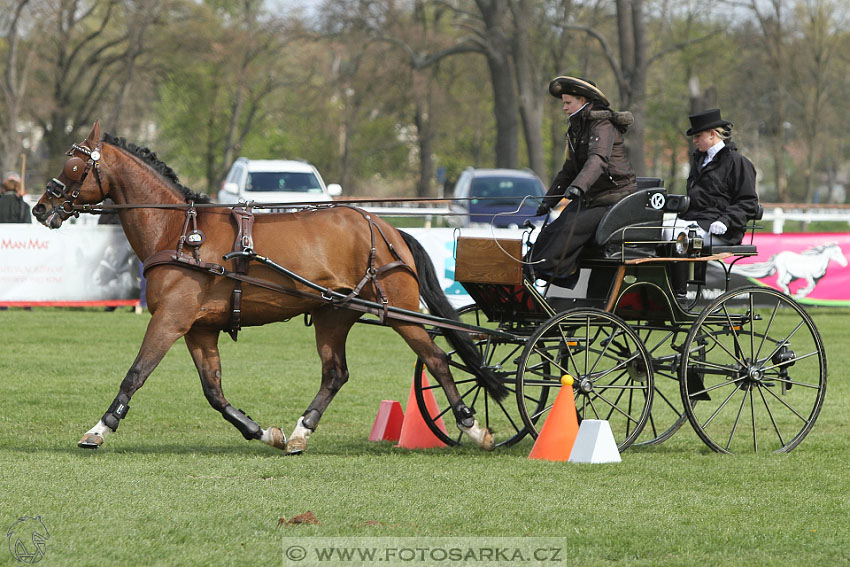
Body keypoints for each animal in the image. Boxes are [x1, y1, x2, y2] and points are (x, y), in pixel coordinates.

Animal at [34, 122, 504, 454]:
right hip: (334, 314)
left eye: (73, 167)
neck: (180, 232)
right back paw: (300, 433)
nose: (41, 207)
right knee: (335, 374)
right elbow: (214, 392)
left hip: (399, 311)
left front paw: (99, 429)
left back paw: (473, 428)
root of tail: (385, 227)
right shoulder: (199, 328)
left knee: (437, 360)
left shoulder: (171, 319)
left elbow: (135, 374)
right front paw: (263, 432)